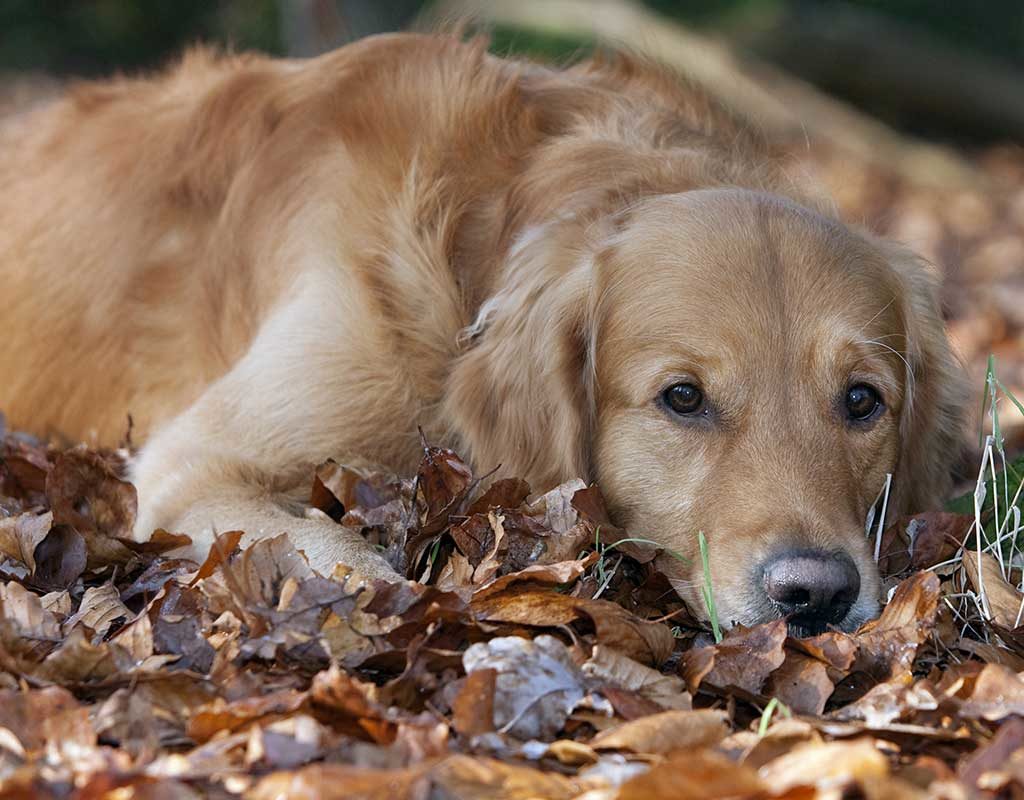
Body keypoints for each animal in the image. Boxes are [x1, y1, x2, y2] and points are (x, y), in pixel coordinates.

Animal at [0, 31, 966, 635]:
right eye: (683, 398)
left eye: (862, 402)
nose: (818, 593)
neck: (476, 240)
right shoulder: (195, 465)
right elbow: (360, 563)